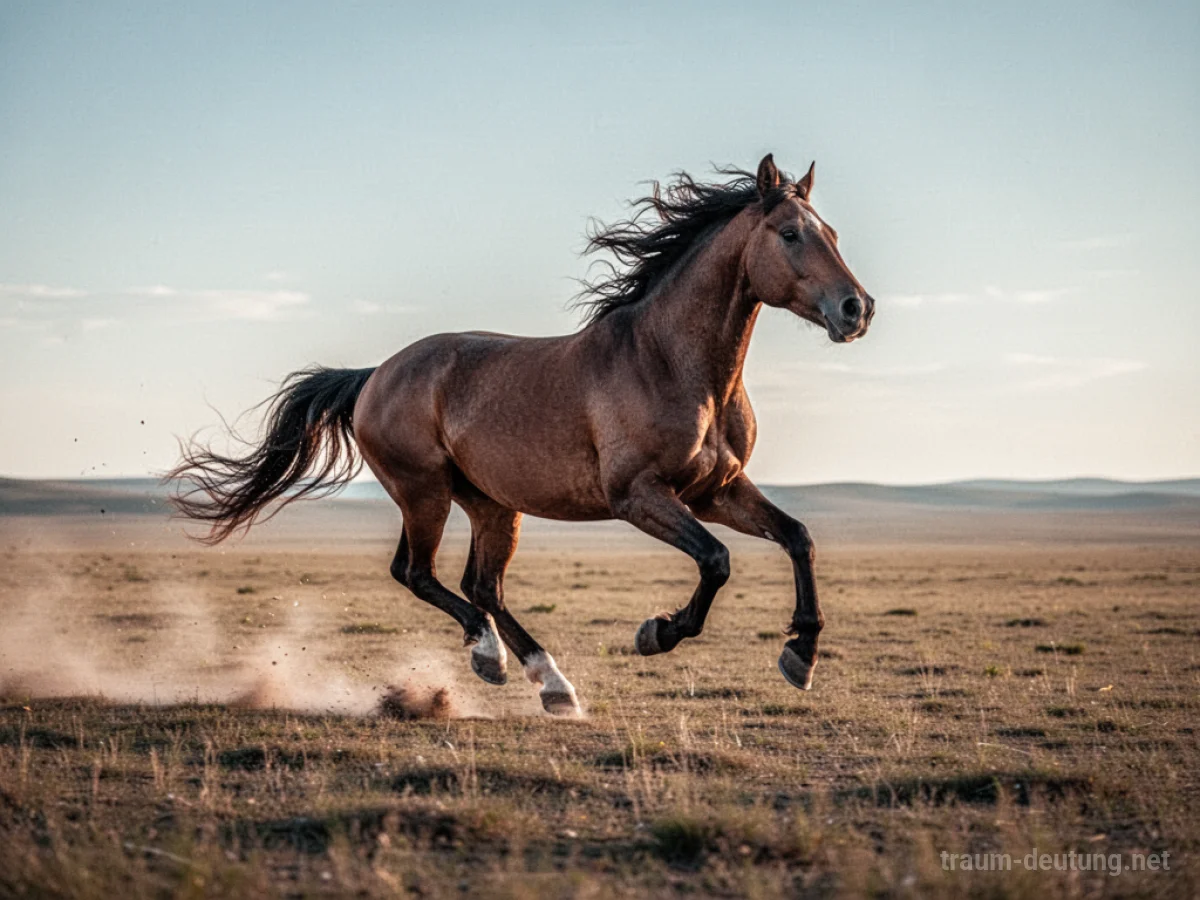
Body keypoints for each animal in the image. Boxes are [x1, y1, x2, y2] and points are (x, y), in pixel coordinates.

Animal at [169, 154, 875, 716]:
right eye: (790, 233)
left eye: (832, 233)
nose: (857, 309)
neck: (675, 363)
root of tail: (376, 374)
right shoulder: (640, 496)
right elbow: (716, 560)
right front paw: (657, 633)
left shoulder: (716, 491)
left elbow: (798, 538)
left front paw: (801, 655)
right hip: (424, 492)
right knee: (420, 574)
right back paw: (495, 659)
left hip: (490, 503)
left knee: (480, 585)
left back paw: (549, 683)